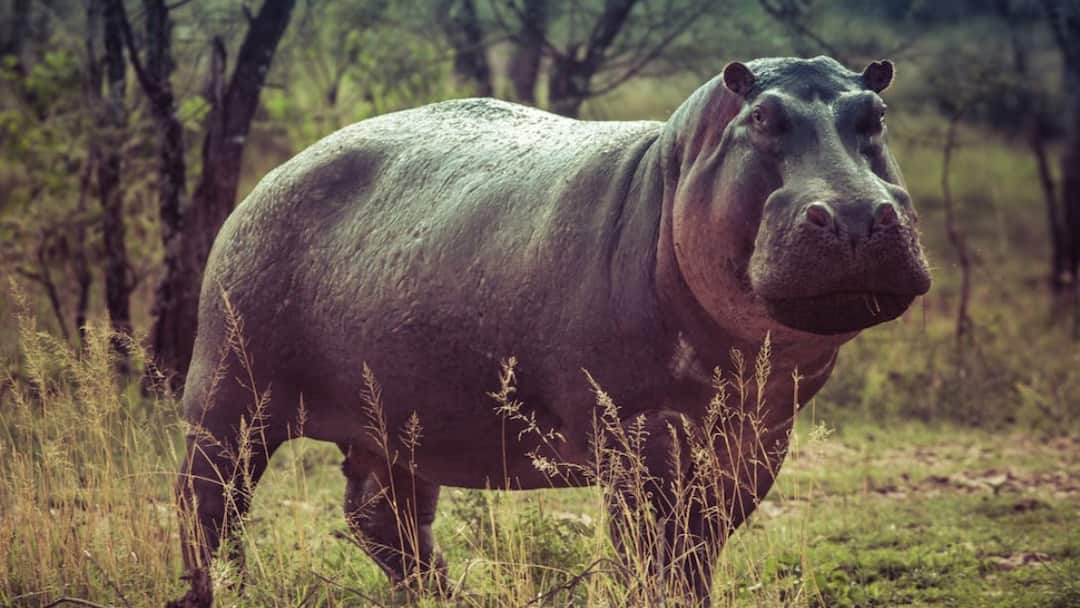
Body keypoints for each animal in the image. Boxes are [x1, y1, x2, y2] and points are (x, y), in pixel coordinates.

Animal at [170, 56, 930, 607]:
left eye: (877, 116)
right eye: (764, 117)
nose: (856, 213)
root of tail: (276, 173)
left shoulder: (756, 438)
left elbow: (696, 553)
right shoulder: (640, 437)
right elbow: (651, 553)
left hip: (395, 422)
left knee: (385, 520)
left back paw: (449, 598)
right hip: (230, 394)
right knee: (208, 502)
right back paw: (221, 591)